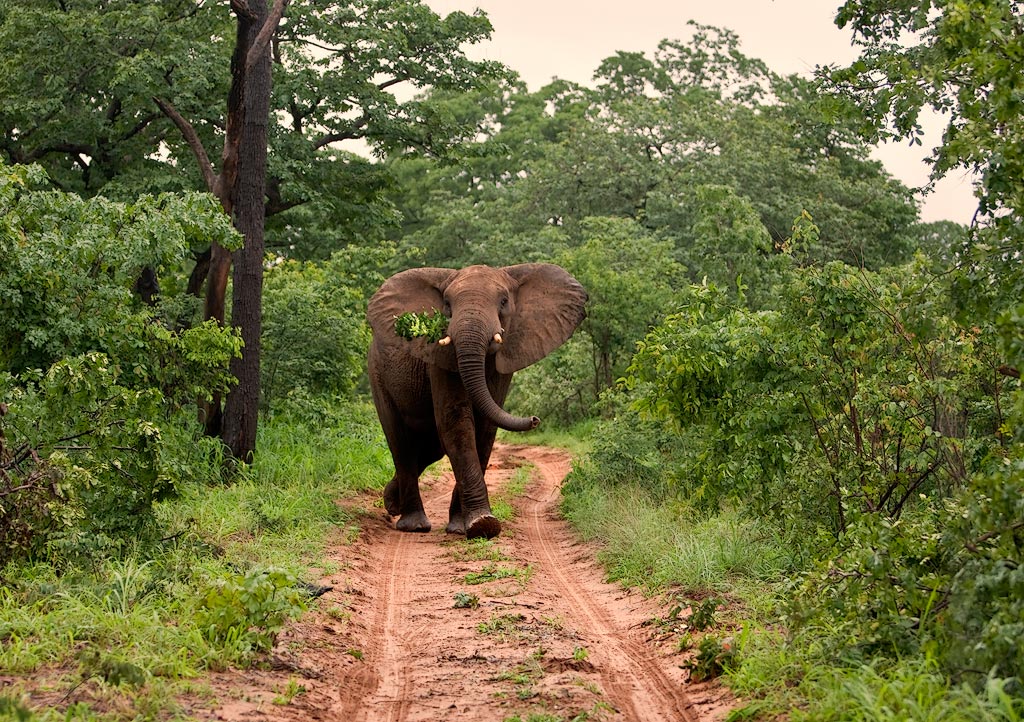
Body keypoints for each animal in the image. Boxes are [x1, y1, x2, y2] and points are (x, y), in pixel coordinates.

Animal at [366, 263, 587, 539]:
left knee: (430, 448)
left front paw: (467, 526)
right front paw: (483, 524)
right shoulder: (439, 357)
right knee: (401, 442)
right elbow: (457, 424)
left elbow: (485, 427)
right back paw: (414, 525)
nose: (535, 419)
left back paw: (391, 502)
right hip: (377, 373)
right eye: (447, 304)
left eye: (503, 302)